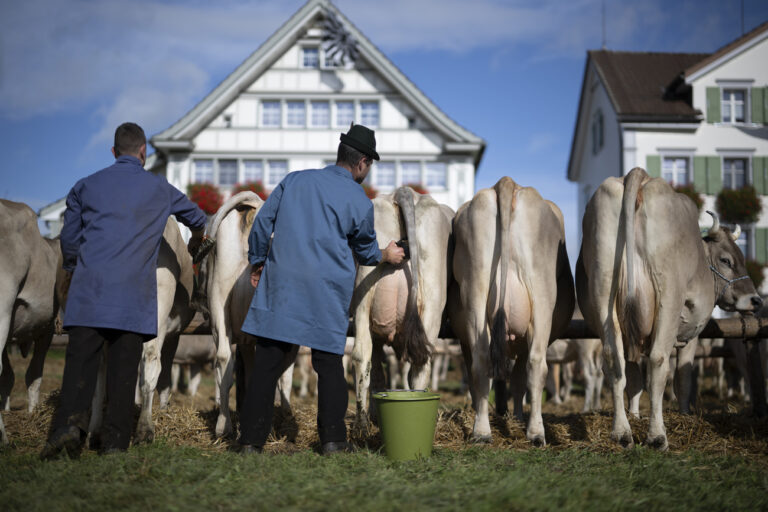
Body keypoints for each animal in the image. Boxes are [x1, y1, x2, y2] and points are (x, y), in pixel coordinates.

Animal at [352, 186, 452, 434]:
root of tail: (403, 191)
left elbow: (377, 373)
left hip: (363, 293)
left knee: (362, 355)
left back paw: (361, 424)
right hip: (431, 304)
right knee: (419, 367)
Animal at [448, 175, 572, 444]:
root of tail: (507, 183)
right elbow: (518, 381)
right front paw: (517, 416)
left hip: (475, 287)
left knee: (481, 361)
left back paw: (482, 432)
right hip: (542, 293)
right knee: (536, 364)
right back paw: (535, 432)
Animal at [576, 166, 760, 450]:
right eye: (727, 260)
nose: (755, 299)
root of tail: (637, 176)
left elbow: (634, 380)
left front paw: (634, 415)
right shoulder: (692, 332)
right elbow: (683, 378)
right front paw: (683, 414)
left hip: (603, 291)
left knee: (613, 360)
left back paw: (622, 432)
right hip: (667, 295)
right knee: (658, 361)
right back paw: (657, 436)